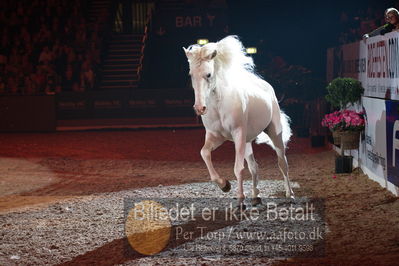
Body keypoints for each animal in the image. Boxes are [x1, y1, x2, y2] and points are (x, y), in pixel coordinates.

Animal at [186, 35, 296, 206]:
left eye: (209, 74)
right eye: (191, 74)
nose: (199, 108)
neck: (219, 105)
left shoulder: (238, 134)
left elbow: (238, 168)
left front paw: (239, 200)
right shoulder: (215, 136)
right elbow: (204, 153)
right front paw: (224, 185)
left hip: (274, 133)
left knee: (282, 163)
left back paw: (289, 195)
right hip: (247, 141)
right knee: (254, 166)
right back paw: (256, 196)